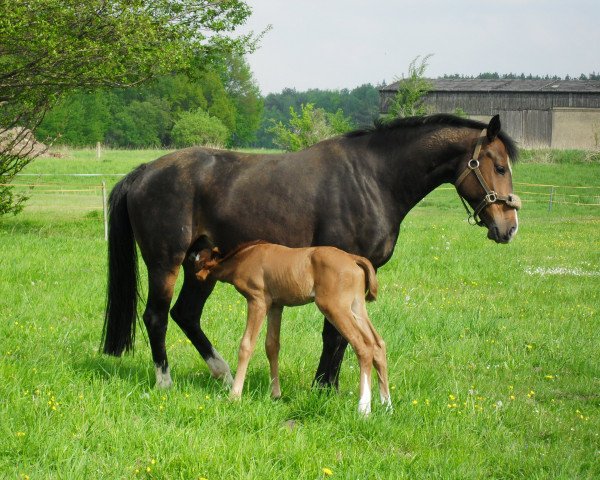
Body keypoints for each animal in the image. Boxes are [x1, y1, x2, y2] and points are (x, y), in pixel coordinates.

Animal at [195, 242, 392, 414]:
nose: (197, 277)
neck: (245, 257)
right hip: (357, 307)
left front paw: (234, 396)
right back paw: (387, 406)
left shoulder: (258, 301)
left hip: (335, 308)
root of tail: (353, 259)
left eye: (198, 261)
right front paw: (275, 394)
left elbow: (246, 345)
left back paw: (364, 409)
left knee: (363, 346)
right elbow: (272, 346)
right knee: (378, 343)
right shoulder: (276, 305)